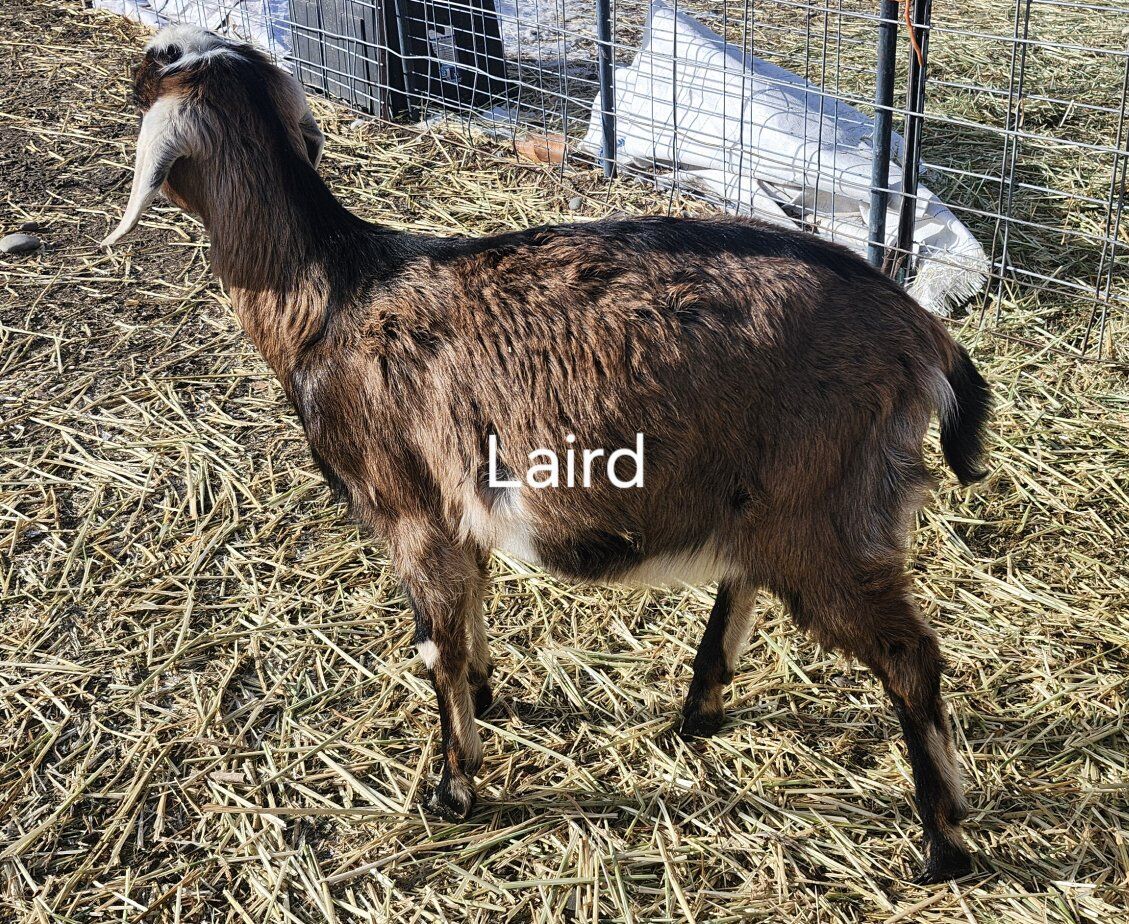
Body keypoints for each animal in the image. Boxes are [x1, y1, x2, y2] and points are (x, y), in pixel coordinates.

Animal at [104, 26, 991, 884]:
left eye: (158, 66)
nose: (134, 73)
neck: (331, 298)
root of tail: (922, 335)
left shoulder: (409, 512)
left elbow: (436, 642)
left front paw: (453, 786)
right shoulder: (457, 507)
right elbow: (470, 605)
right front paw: (490, 696)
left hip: (830, 508)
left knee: (908, 656)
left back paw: (943, 842)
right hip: (774, 494)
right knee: (749, 578)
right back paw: (699, 710)